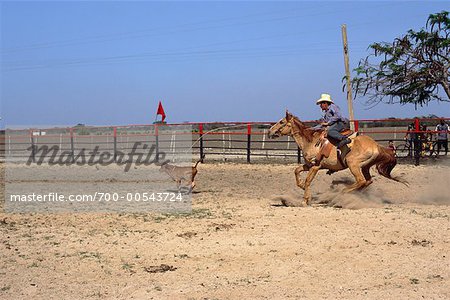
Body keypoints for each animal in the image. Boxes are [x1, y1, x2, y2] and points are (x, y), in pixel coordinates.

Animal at [268, 110, 402, 206]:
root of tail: (376, 145)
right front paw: (301, 186)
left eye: (281, 122)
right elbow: (296, 171)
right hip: (365, 167)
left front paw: (305, 200)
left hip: (352, 164)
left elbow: (308, 181)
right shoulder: (309, 165)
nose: (269, 131)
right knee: (367, 181)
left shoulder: (316, 166)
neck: (311, 141)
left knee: (361, 181)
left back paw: (342, 193)